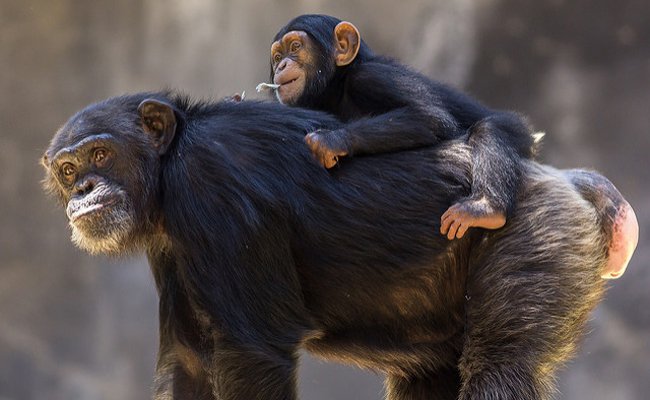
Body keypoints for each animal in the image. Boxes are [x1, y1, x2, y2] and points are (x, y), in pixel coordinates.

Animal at [43, 92, 636, 398]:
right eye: (68, 169)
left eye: (101, 155)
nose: (83, 188)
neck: (168, 170)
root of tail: (569, 179)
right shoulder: (170, 249)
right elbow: (189, 362)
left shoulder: (213, 185)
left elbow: (254, 352)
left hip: (535, 234)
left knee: (501, 367)